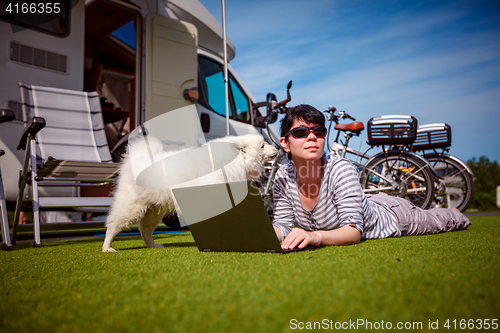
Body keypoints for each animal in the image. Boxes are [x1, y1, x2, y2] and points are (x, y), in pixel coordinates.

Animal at [101, 134, 278, 250]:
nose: (277, 147)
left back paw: (153, 245)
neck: (234, 161)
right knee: (112, 225)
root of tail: (136, 160)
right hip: (131, 207)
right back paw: (107, 247)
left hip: (152, 212)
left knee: (145, 232)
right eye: (262, 145)